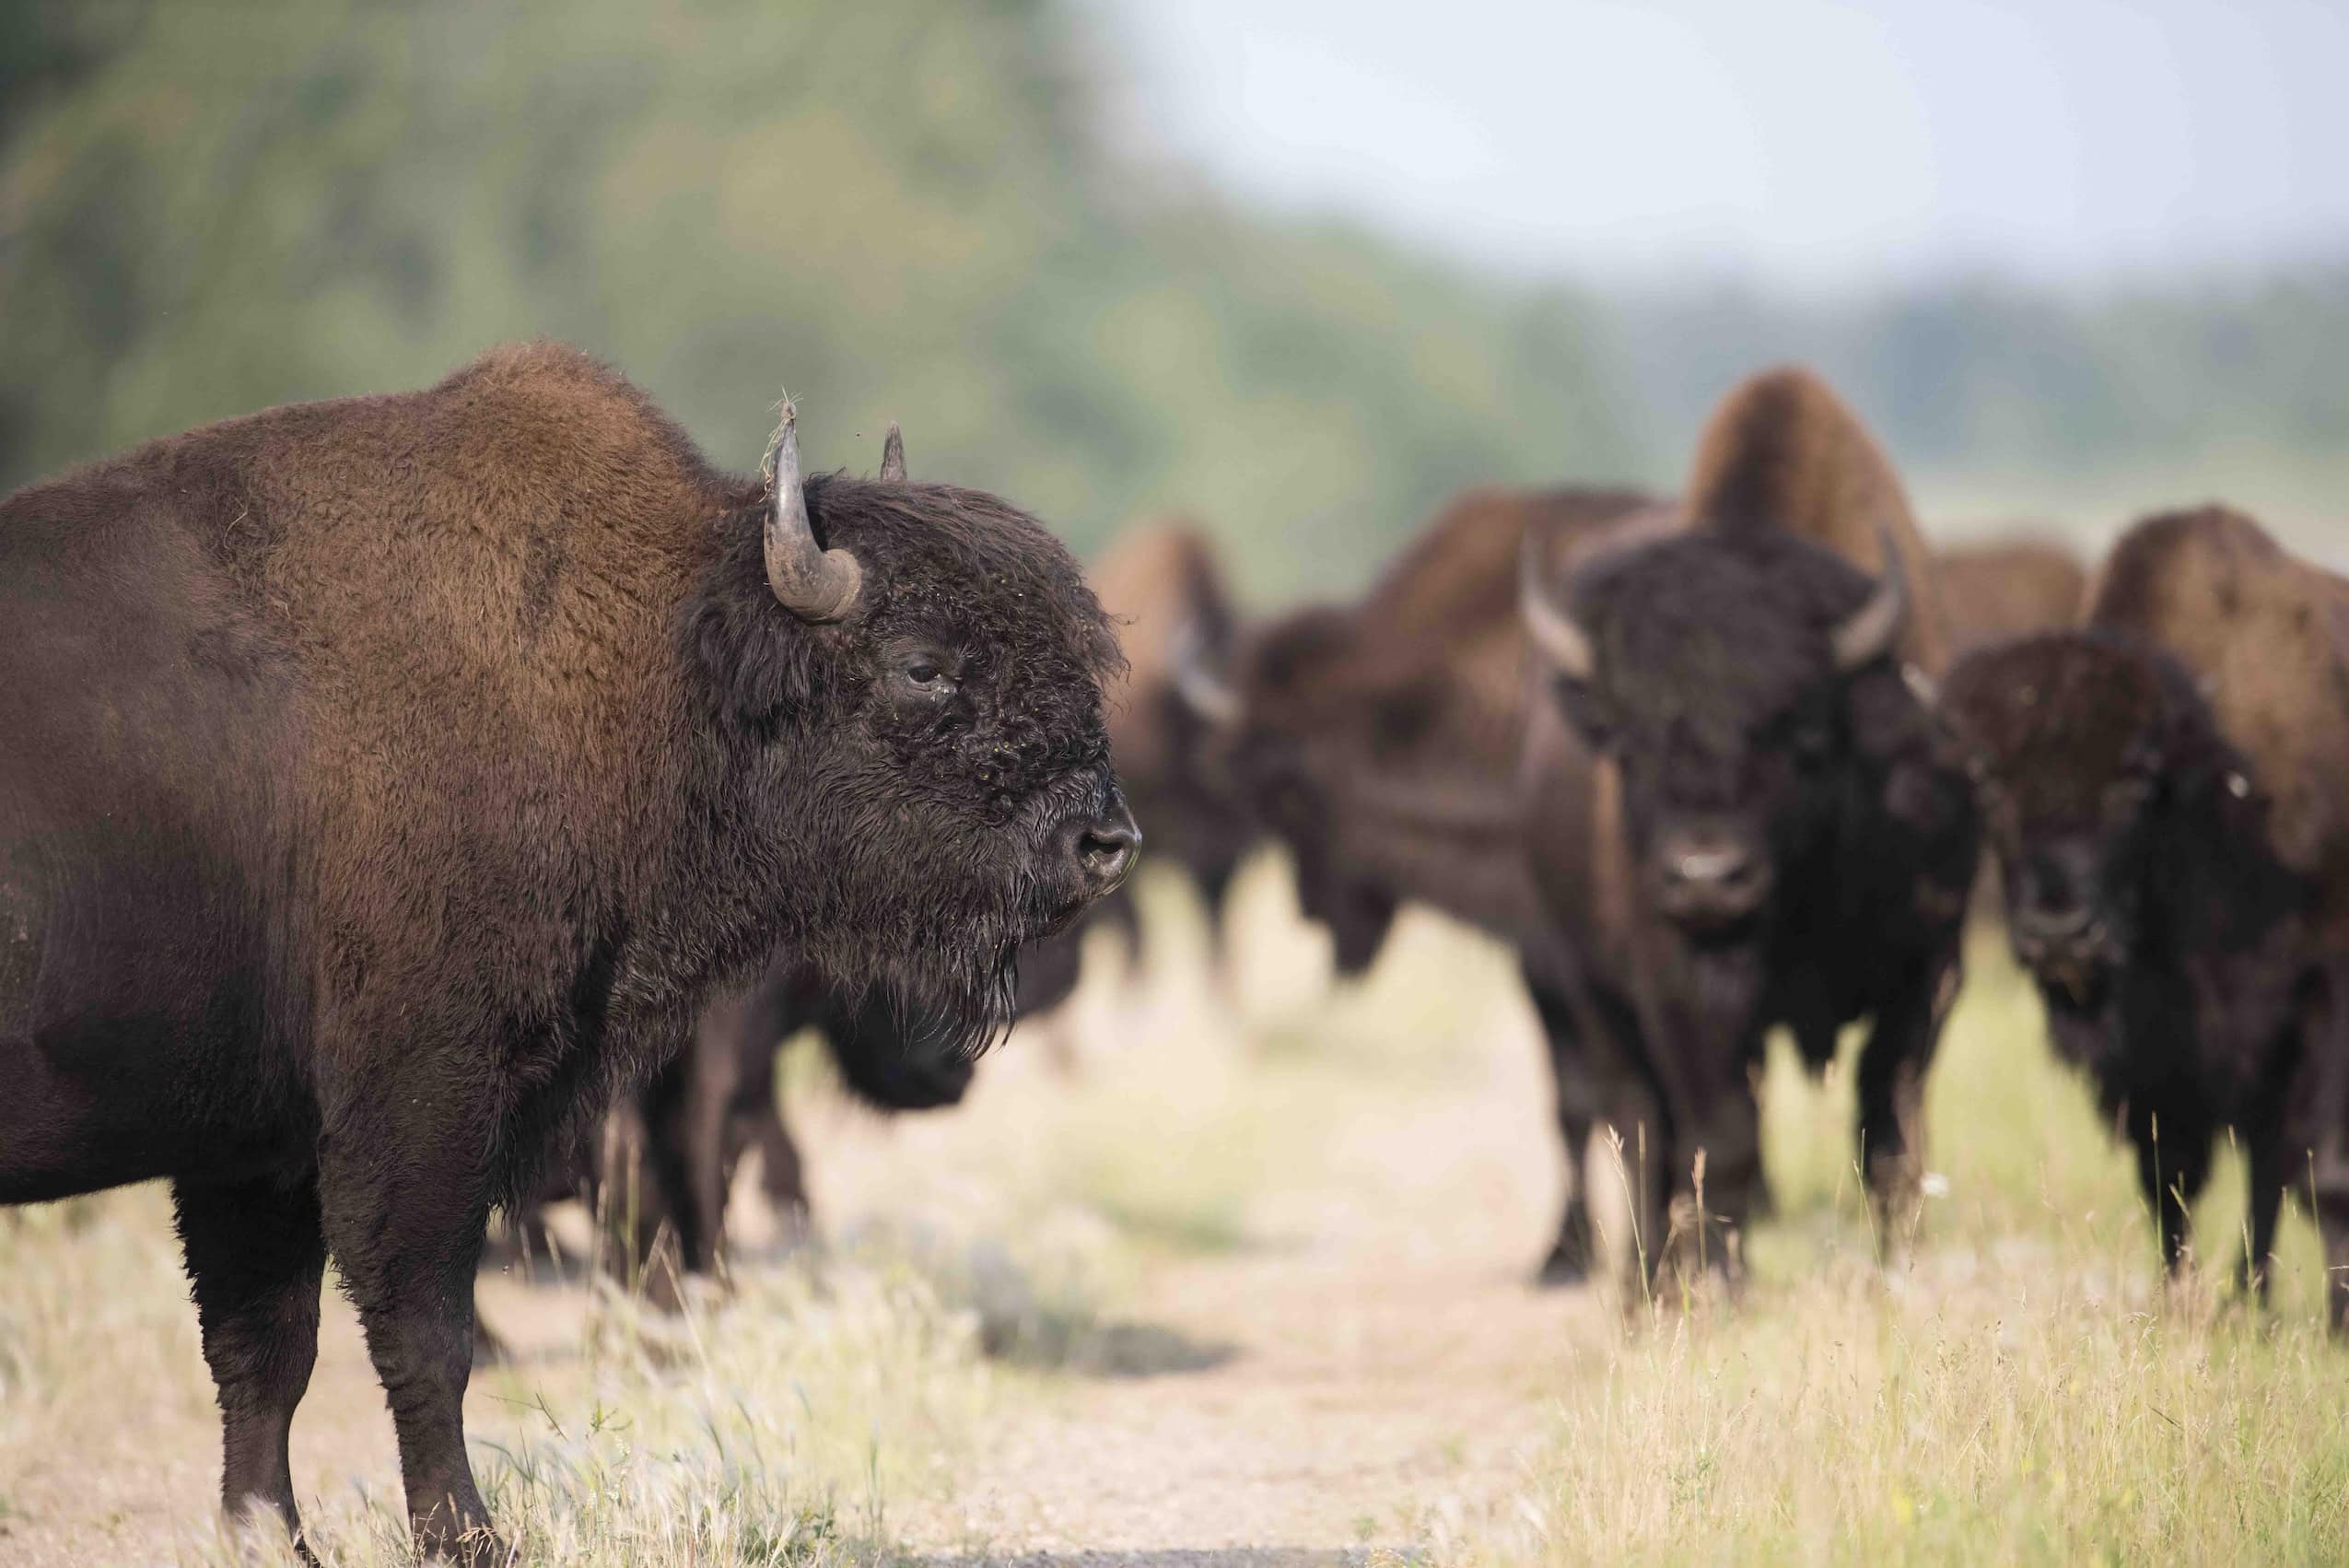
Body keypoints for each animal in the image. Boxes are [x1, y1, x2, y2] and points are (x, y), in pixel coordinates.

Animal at [0, 345, 1135, 1559]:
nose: (1105, 841)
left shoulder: (255, 1148)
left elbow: (264, 1353)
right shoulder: (420, 1108)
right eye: (923, 665)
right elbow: (422, 1332)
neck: (660, 663)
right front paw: (469, 1536)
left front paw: (269, 1536)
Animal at [1518, 367, 1979, 1280]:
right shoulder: (1681, 985)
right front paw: (1719, 1282)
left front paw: (1896, 1270)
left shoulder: (1927, 969)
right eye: (1629, 744)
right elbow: (1720, 1137)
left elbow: (1890, 1137)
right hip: (1589, 994)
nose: (1708, 878)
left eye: (1798, 733)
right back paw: (1646, 1285)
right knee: (1638, 1128)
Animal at [1939, 506, 2349, 1323]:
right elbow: (2172, 1179)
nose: (2060, 932)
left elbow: (2320, 1170)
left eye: (2132, 782)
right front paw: (2181, 1305)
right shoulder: (2154, 1064)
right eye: (1991, 784)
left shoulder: (2319, 1000)